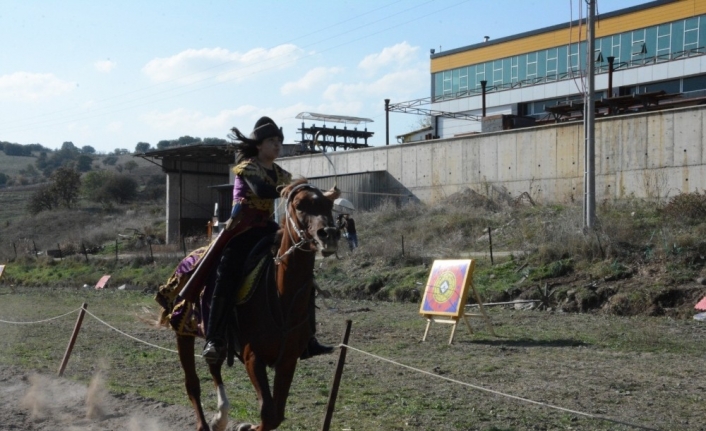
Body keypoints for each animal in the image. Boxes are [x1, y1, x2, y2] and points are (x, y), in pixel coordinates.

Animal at [155, 180, 340, 431]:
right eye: (300, 205)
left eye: (328, 205)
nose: (329, 234)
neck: (282, 300)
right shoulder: (253, 358)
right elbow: (268, 413)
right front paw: (247, 426)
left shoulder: (287, 361)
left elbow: (276, 415)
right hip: (183, 333)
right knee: (192, 383)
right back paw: (205, 423)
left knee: (214, 365)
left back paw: (221, 417)